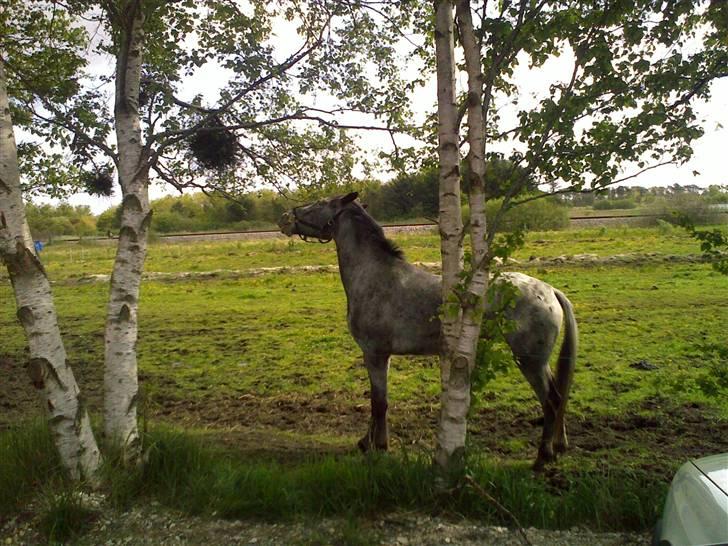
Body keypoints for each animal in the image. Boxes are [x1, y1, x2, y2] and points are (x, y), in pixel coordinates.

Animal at [276, 191, 576, 468]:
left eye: (319, 203)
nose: (285, 218)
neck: (375, 277)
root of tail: (549, 291)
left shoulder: (374, 353)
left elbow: (378, 402)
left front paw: (377, 446)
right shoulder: (382, 356)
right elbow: (379, 400)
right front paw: (369, 442)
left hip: (530, 361)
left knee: (550, 402)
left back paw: (543, 457)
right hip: (539, 363)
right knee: (559, 396)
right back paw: (559, 446)